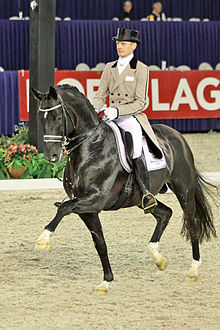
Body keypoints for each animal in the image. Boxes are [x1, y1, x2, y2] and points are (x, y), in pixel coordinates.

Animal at [31, 84, 216, 294]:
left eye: (58, 118)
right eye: (40, 118)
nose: (51, 156)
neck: (90, 146)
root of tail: (177, 136)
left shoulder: (96, 199)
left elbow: (64, 207)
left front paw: (43, 239)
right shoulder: (88, 210)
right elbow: (100, 243)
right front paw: (106, 282)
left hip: (183, 190)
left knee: (192, 222)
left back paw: (193, 270)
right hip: (139, 198)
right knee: (165, 213)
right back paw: (158, 258)